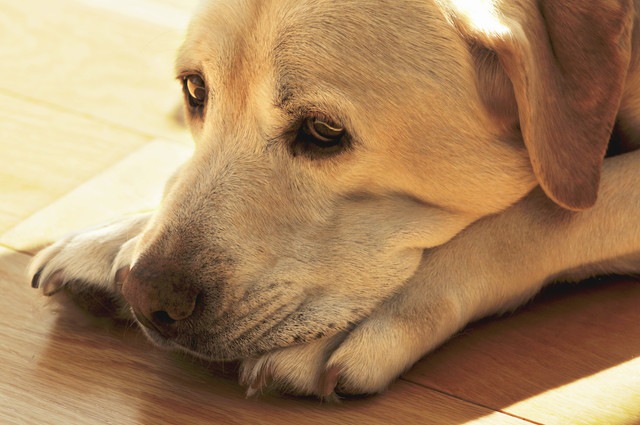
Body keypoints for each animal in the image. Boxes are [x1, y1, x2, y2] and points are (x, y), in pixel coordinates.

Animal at [28, 0, 640, 398]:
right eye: (196, 89)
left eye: (323, 131)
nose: (145, 296)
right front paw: (118, 239)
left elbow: (540, 215)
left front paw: (376, 315)